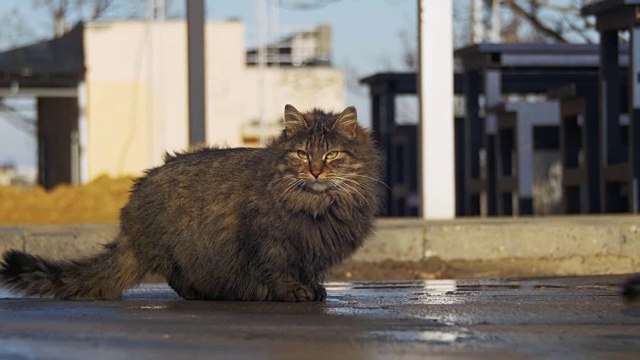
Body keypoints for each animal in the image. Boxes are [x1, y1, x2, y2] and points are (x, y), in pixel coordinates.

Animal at [0, 104, 382, 300]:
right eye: (303, 154)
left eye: (331, 155)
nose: (316, 171)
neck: (320, 207)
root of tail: (129, 223)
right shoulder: (271, 244)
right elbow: (280, 271)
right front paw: (293, 292)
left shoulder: (310, 249)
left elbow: (307, 270)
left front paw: (313, 288)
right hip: (182, 248)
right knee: (176, 280)